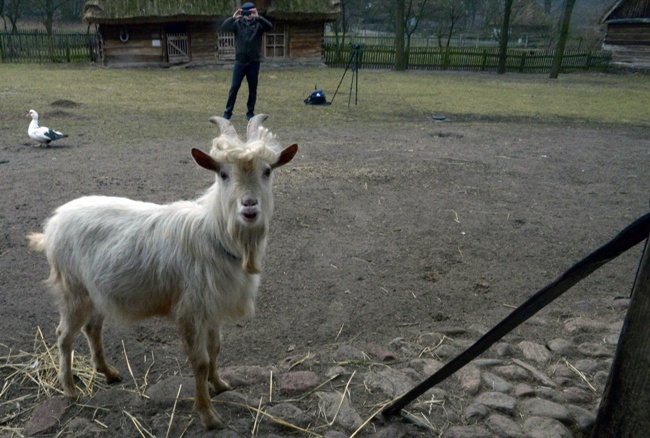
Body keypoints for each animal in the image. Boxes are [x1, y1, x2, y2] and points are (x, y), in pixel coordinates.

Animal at [26, 114, 298, 430]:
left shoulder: (212, 307)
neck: (214, 234)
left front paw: (220, 384)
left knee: (92, 328)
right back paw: (70, 389)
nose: (249, 206)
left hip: (96, 292)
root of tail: (51, 226)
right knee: (64, 336)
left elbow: (215, 349)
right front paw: (208, 415)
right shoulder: (191, 309)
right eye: (222, 174)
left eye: (267, 171)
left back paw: (109, 372)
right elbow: (200, 361)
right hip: (73, 290)